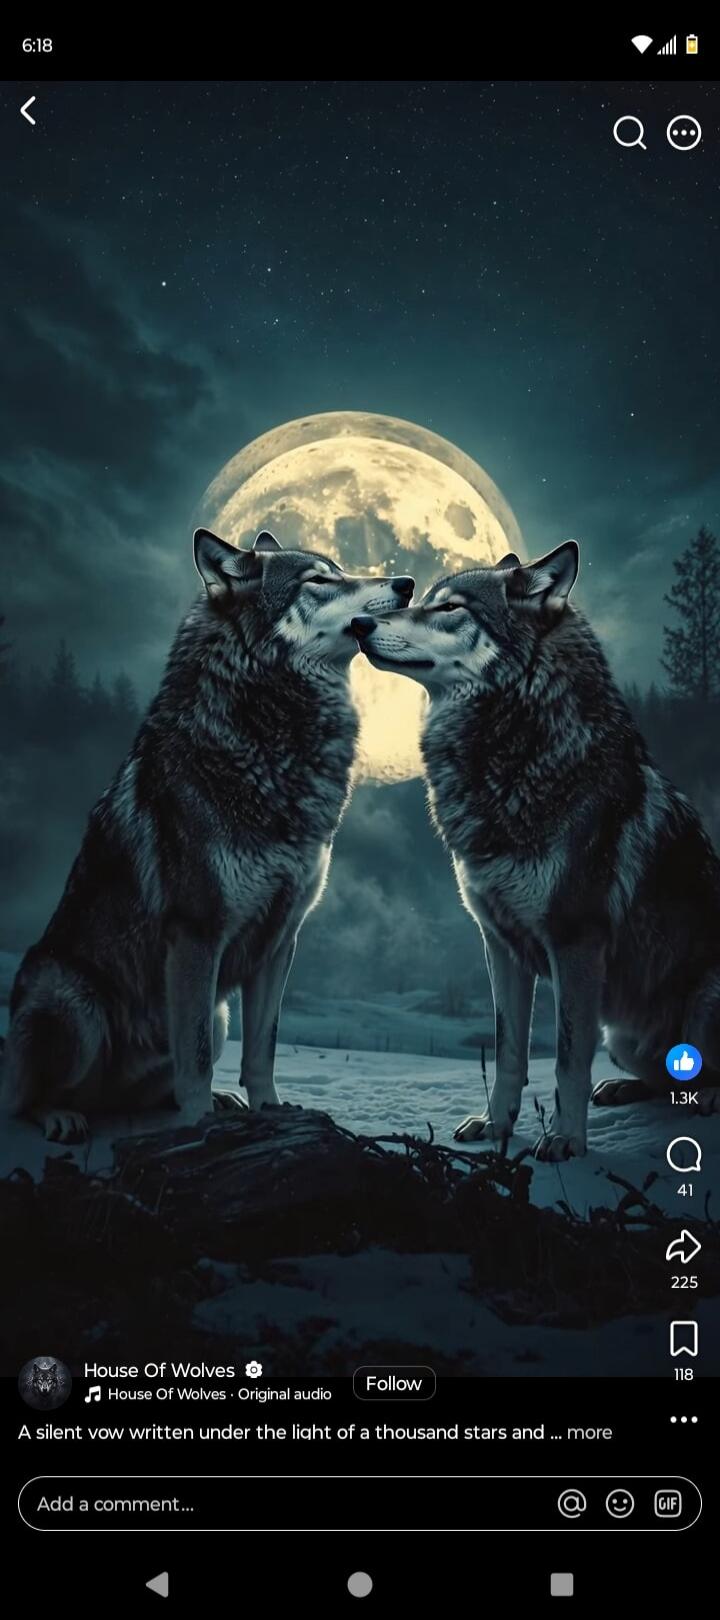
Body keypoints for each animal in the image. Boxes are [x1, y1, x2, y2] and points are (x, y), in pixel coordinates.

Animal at [1, 529, 413, 1143]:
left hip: (217, 1016)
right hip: (73, 1002)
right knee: (27, 1099)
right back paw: (62, 1115)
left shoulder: (281, 938)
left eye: (339, 568)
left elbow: (262, 1050)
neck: (269, 739)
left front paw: (269, 1110)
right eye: (320, 579)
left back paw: (216, 1103)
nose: (407, 583)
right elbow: (193, 1056)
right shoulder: (197, 932)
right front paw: (197, 1124)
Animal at [352, 542, 720, 1159]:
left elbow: (567, 1058)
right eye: (424, 598)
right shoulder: (499, 944)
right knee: (667, 1077)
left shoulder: (575, 944)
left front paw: (566, 1140)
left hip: (700, 1004)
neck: (517, 753)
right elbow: (509, 1052)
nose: (358, 622)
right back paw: (622, 1088)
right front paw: (495, 1124)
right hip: (623, 1036)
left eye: (449, 608)